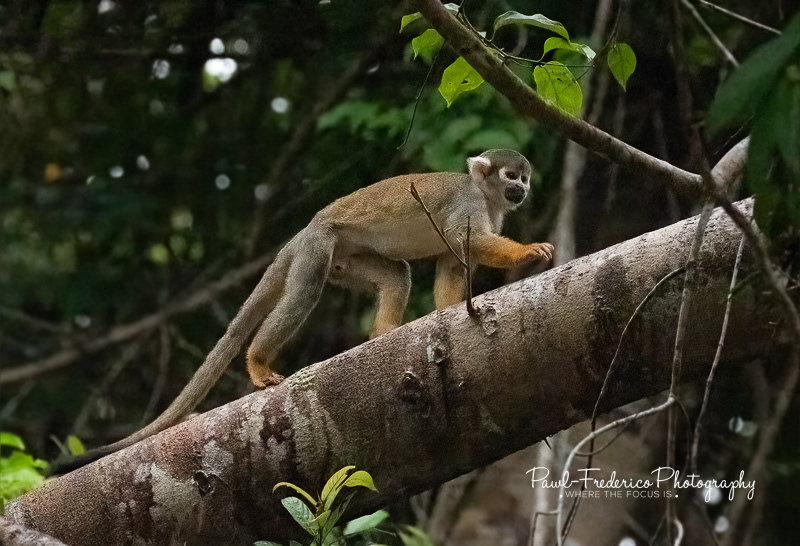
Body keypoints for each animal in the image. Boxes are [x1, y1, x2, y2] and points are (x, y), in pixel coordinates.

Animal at [50, 149, 554, 474]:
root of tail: (305, 228)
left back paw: (384, 333)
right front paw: (527, 251)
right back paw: (257, 360)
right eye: (511, 176)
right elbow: (466, 241)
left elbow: (454, 260)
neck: (485, 196)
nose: (522, 189)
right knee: (307, 289)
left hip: (345, 259)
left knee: (396, 275)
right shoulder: (468, 204)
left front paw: (447, 311)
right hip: (321, 246)